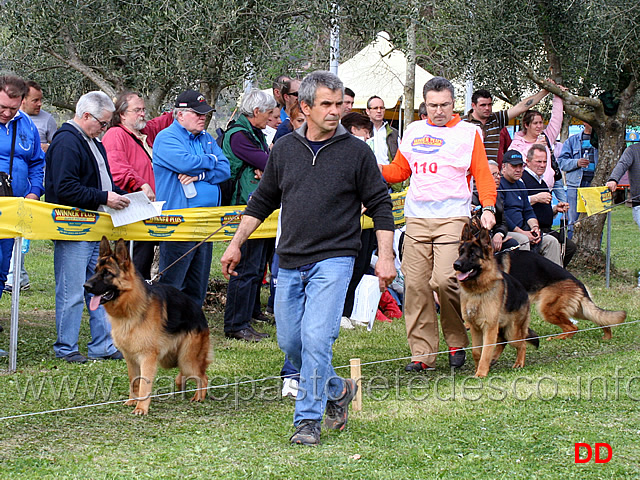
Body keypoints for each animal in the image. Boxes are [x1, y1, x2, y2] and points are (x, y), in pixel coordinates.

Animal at [82, 238, 212, 414]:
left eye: (107, 273)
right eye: (95, 271)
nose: (86, 286)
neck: (132, 307)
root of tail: (200, 312)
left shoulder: (147, 358)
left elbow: (144, 383)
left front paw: (141, 408)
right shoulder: (130, 358)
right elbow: (134, 381)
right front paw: (132, 401)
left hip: (187, 359)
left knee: (203, 377)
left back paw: (199, 397)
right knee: (186, 376)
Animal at [452, 222, 536, 378]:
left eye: (472, 254)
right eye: (461, 252)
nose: (456, 265)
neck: (477, 292)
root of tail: (524, 292)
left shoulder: (489, 327)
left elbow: (485, 351)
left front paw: (481, 373)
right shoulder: (475, 328)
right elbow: (477, 351)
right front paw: (477, 369)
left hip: (512, 332)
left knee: (521, 343)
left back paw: (519, 363)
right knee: (502, 341)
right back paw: (494, 359)